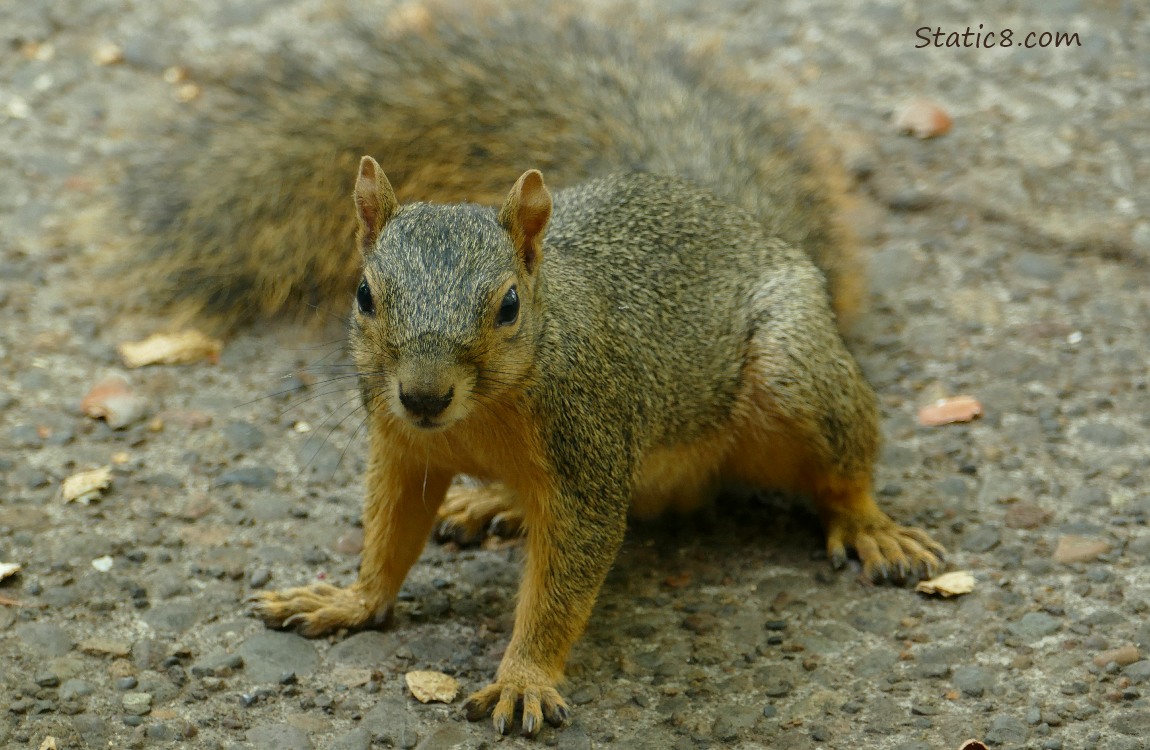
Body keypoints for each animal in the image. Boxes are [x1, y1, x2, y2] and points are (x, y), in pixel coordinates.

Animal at [114, 2, 945, 738]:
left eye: (509, 305)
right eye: (364, 294)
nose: (423, 395)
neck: (482, 414)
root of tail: (762, 232)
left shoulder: (589, 457)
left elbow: (561, 586)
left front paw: (523, 678)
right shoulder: (402, 449)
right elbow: (388, 534)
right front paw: (351, 599)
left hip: (795, 372)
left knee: (843, 462)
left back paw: (871, 528)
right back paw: (491, 504)